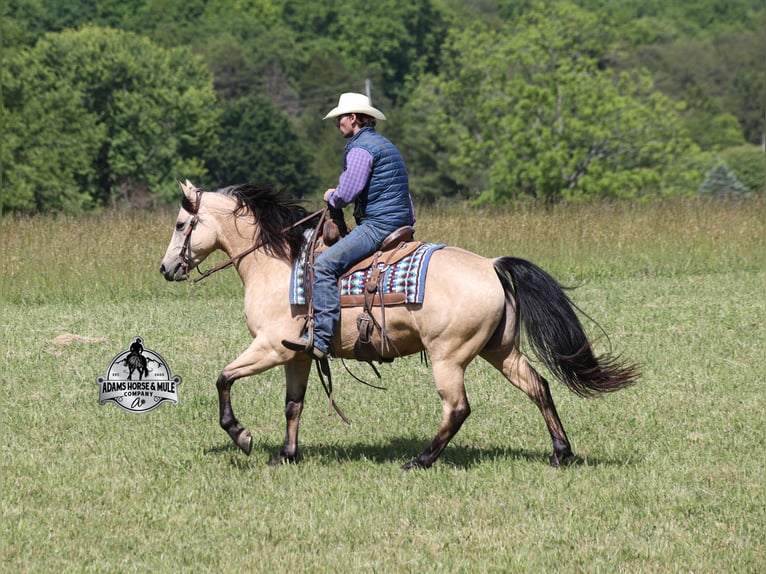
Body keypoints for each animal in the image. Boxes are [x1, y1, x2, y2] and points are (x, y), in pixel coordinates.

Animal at [159, 180, 639, 470]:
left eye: (182, 223)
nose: (166, 269)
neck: (278, 266)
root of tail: (492, 264)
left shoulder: (270, 347)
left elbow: (224, 378)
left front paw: (241, 435)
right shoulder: (297, 355)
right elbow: (293, 405)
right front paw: (286, 455)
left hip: (449, 358)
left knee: (457, 408)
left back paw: (420, 460)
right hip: (500, 350)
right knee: (539, 387)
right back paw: (561, 452)